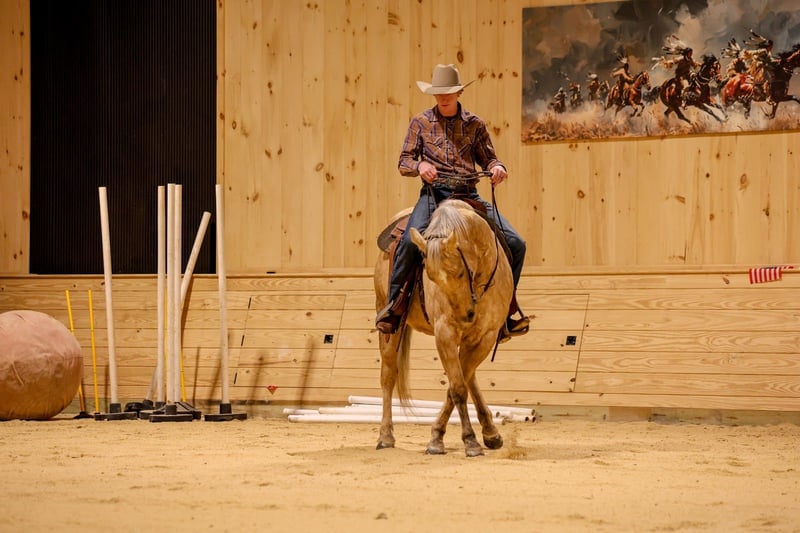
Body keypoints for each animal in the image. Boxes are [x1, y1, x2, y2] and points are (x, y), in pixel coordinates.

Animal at [373, 199, 513, 457]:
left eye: (459, 272)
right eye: (431, 277)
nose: (466, 316)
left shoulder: (486, 336)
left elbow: (458, 383)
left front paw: (447, 436)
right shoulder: (445, 333)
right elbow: (457, 387)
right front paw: (463, 440)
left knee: (470, 375)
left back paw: (490, 431)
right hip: (388, 324)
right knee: (388, 375)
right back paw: (385, 436)